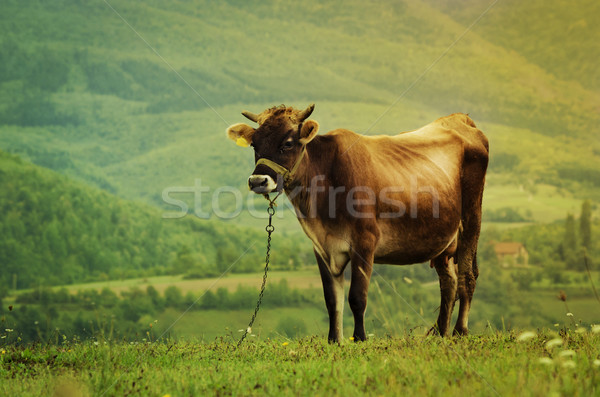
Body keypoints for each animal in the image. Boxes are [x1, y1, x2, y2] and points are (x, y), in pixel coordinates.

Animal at [225, 103, 488, 342]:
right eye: (254, 144)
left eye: (288, 143)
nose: (258, 181)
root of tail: (459, 119)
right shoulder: (321, 246)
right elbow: (332, 300)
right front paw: (334, 340)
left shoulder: (365, 241)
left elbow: (357, 297)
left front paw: (359, 338)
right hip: (444, 239)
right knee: (448, 283)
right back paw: (442, 334)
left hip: (471, 218)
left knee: (466, 276)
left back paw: (460, 331)